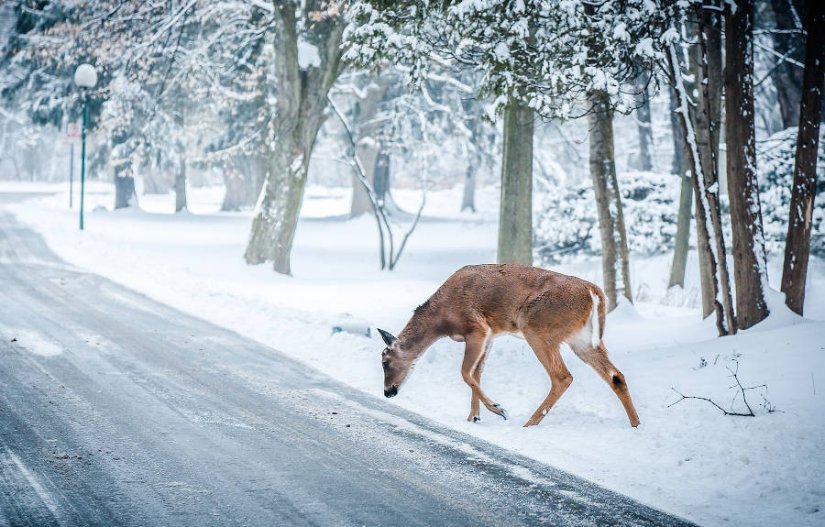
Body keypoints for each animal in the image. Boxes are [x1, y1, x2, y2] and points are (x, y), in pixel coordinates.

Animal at [376, 264, 640, 428]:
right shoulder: (491, 335)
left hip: (537, 327)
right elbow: (477, 374)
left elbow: (465, 373)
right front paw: (474, 417)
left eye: (385, 361)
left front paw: (498, 409)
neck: (441, 319)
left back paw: (529, 422)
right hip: (581, 339)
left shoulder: (477, 327)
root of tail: (593, 292)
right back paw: (635, 424)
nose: (388, 392)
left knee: (562, 376)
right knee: (616, 375)